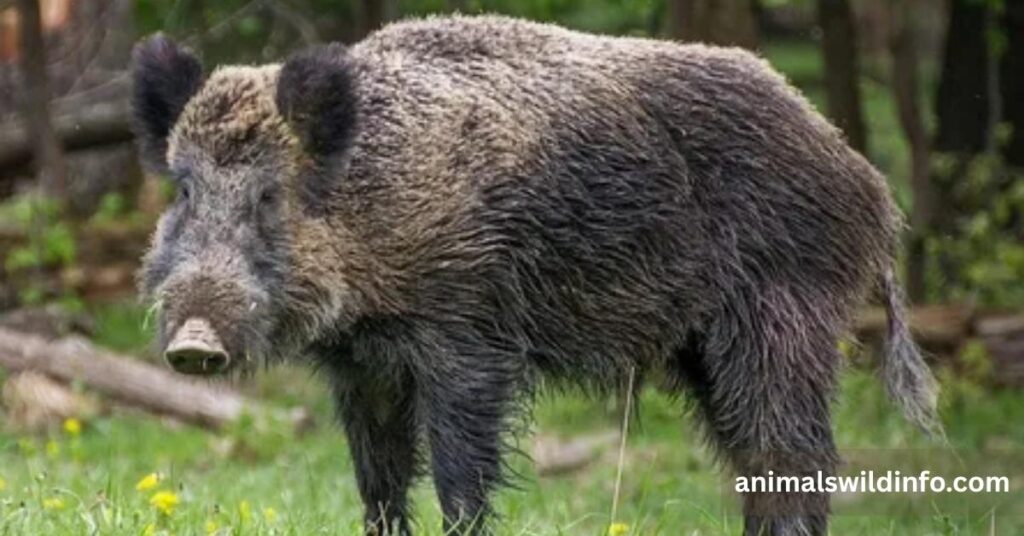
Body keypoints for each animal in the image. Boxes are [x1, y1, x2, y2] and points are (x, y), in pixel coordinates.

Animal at [132, 15, 939, 536]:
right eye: (183, 190)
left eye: (270, 195)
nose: (193, 343)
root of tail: (868, 184)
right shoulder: (362, 367)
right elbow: (379, 481)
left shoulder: (468, 336)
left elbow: (460, 473)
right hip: (705, 349)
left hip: (782, 318)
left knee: (794, 453)